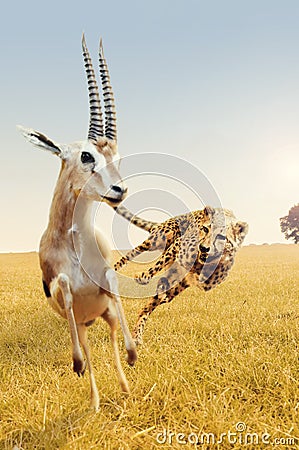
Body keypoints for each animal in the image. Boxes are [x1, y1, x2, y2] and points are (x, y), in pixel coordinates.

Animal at [115, 206, 248, 346]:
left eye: (221, 237)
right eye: (205, 229)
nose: (203, 248)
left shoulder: (189, 280)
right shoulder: (178, 244)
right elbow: (158, 265)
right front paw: (144, 276)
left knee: (148, 306)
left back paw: (137, 336)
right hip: (157, 239)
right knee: (130, 254)